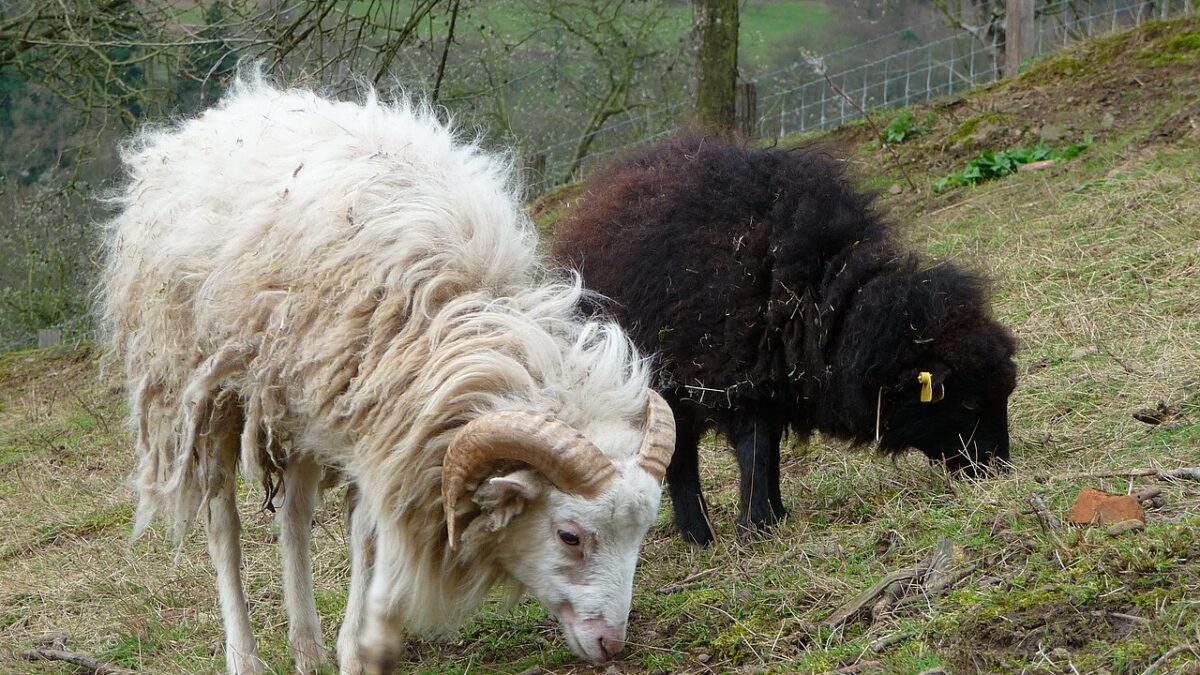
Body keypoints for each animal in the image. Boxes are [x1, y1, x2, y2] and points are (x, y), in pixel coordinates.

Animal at [100, 76, 675, 675]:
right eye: (570, 536)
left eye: (643, 532)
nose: (611, 644)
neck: (451, 317)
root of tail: (216, 113)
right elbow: (369, 538)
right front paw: (360, 650)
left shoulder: (374, 420)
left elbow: (363, 536)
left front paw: (354, 646)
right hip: (202, 390)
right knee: (222, 522)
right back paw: (245, 655)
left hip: (295, 399)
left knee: (294, 518)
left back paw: (306, 647)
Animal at [551, 133, 1018, 545]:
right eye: (968, 402)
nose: (998, 469)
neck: (822, 302)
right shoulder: (735, 377)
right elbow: (755, 451)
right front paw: (756, 528)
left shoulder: (773, 380)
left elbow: (768, 453)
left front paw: (773, 517)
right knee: (680, 457)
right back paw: (698, 535)